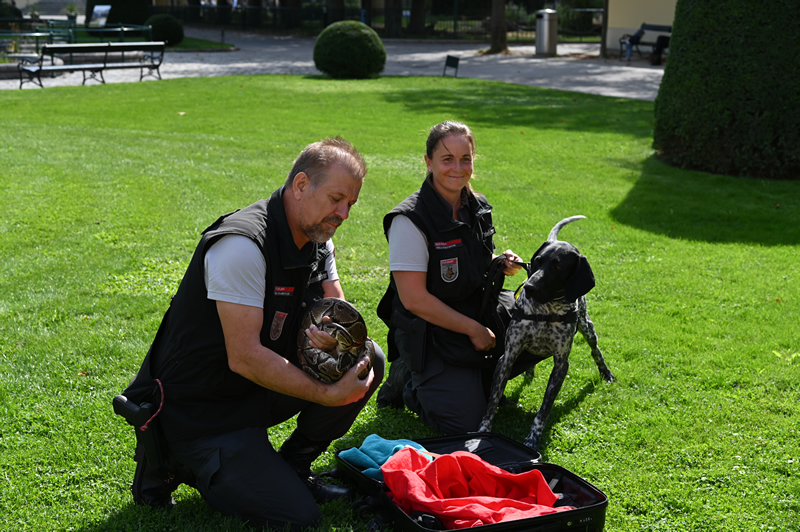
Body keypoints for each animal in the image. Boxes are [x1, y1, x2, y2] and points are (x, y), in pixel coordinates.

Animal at [478, 214, 616, 450]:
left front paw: (533, 439)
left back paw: (606, 374)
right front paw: (482, 433)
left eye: (558, 267)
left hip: (587, 327)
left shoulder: (561, 364)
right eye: (538, 261)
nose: (529, 287)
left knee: (596, 352)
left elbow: (543, 411)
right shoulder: (508, 356)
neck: (546, 311)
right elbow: (492, 401)